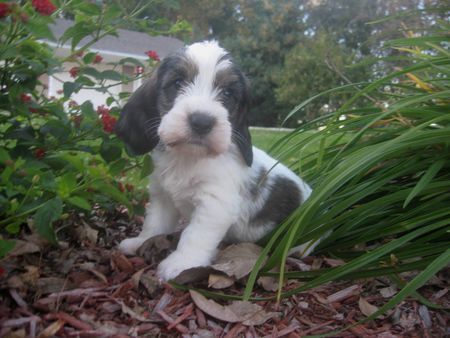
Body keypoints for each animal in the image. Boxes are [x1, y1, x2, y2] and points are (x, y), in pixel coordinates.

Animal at [115, 41, 316, 282]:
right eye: (178, 82)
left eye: (228, 93)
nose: (201, 122)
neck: (190, 157)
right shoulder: (162, 196)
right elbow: (155, 222)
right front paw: (140, 242)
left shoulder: (214, 205)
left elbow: (195, 234)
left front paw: (181, 264)